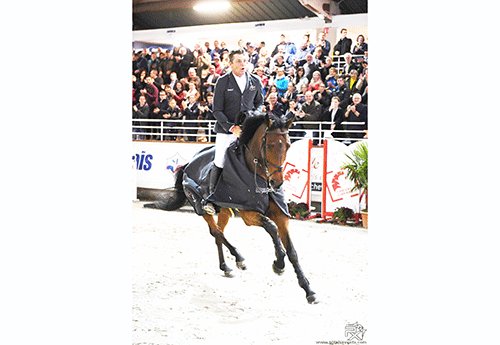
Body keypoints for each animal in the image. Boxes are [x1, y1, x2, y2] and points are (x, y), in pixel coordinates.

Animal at [145, 111, 316, 302]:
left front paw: (308, 290)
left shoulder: (280, 214)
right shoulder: (248, 213)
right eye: (270, 146)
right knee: (216, 232)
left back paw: (226, 267)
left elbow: (292, 250)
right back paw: (239, 258)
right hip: (201, 207)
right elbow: (271, 227)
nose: (277, 183)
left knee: (219, 233)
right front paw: (279, 263)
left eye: (287, 145)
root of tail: (188, 164)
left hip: (225, 210)